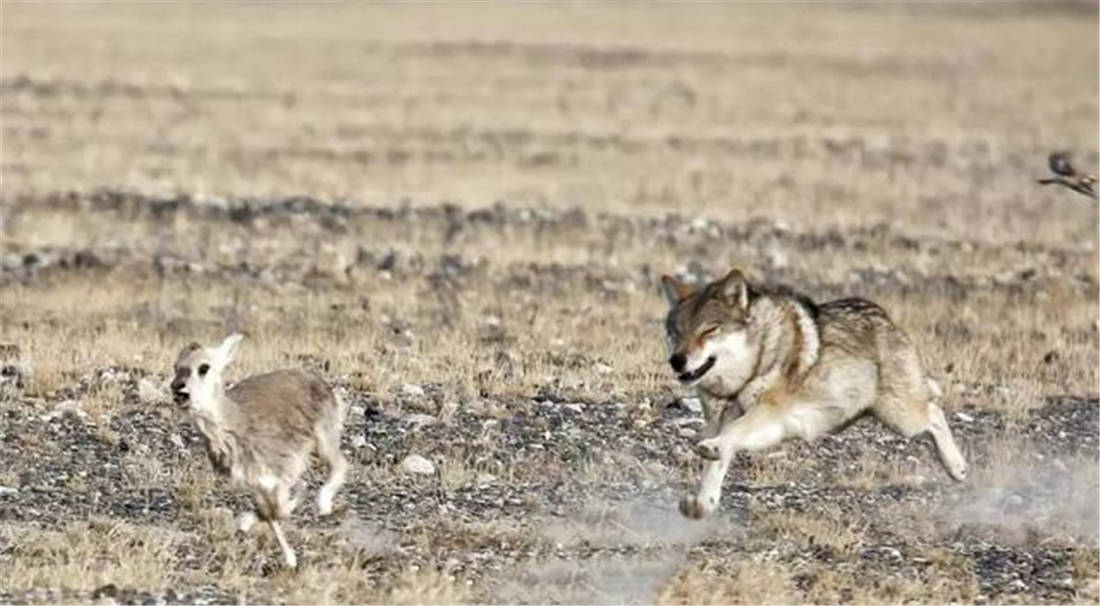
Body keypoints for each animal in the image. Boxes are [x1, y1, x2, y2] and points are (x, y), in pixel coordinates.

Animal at [170, 334, 347, 571]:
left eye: (204, 367)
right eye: (175, 367)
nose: (177, 388)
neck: (237, 423)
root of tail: (317, 380)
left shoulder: (284, 470)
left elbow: (278, 510)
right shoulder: (255, 481)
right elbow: (268, 513)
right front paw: (289, 558)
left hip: (324, 439)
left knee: (340, 464)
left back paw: (323, 503)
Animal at [660, 270, 963, 521]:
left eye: (709, 330)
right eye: (677, 332)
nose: (676, 360)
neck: (755, 361)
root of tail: (883, 316)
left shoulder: (770, 416)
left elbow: (731, 435)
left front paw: (711, 451)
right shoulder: (725, 420)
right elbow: (715, 466)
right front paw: (702, 505)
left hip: (901, 418)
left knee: (935, 412)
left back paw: (957, 468)